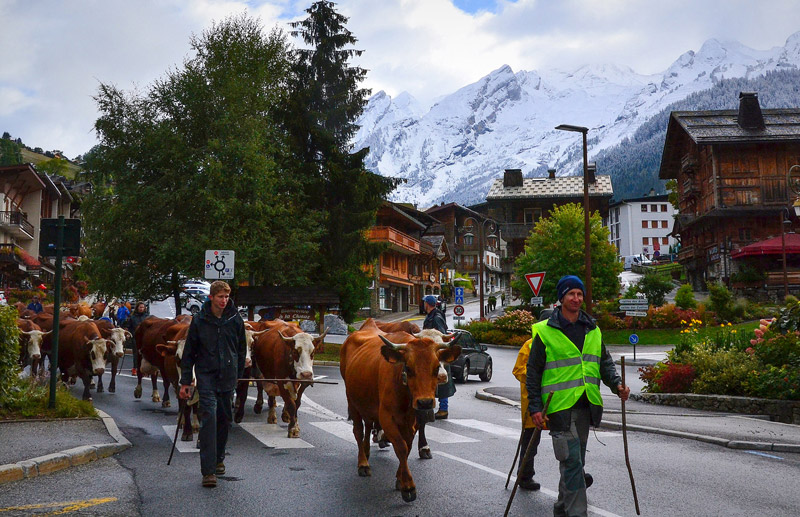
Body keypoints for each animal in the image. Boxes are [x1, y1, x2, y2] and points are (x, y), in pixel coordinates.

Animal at [340, 328, 460, 502]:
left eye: (437, 367)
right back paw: (363, 463)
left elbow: (407, 446)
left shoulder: (413, 421)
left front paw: (400, 479)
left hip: (368, 404)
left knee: (368, 425)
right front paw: (408, 486)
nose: (425, 402)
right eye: (408, 368)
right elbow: (401, 447)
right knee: (358, 431)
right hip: (353, 402)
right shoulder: (386, 417)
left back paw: (367, 451)